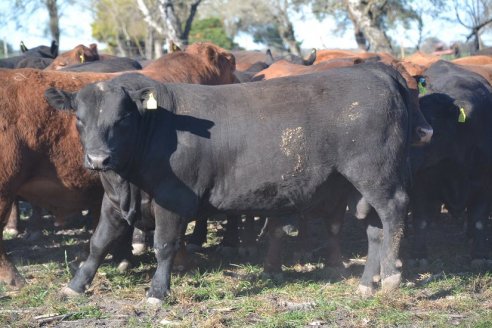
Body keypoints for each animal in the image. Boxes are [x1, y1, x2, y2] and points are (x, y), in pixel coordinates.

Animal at [46, 62, 416, 304]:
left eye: (122, 119)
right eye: (79, 119)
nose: (98, 159)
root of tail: (374, 72)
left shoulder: (172, 200)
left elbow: (164, 245)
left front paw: (157, 292)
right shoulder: (112, 202)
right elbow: (98, 243)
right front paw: (76, 285)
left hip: (374, 174)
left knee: (394, 211)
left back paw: (391, 277)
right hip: (356, 186)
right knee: (374, 229)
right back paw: (367, 283)